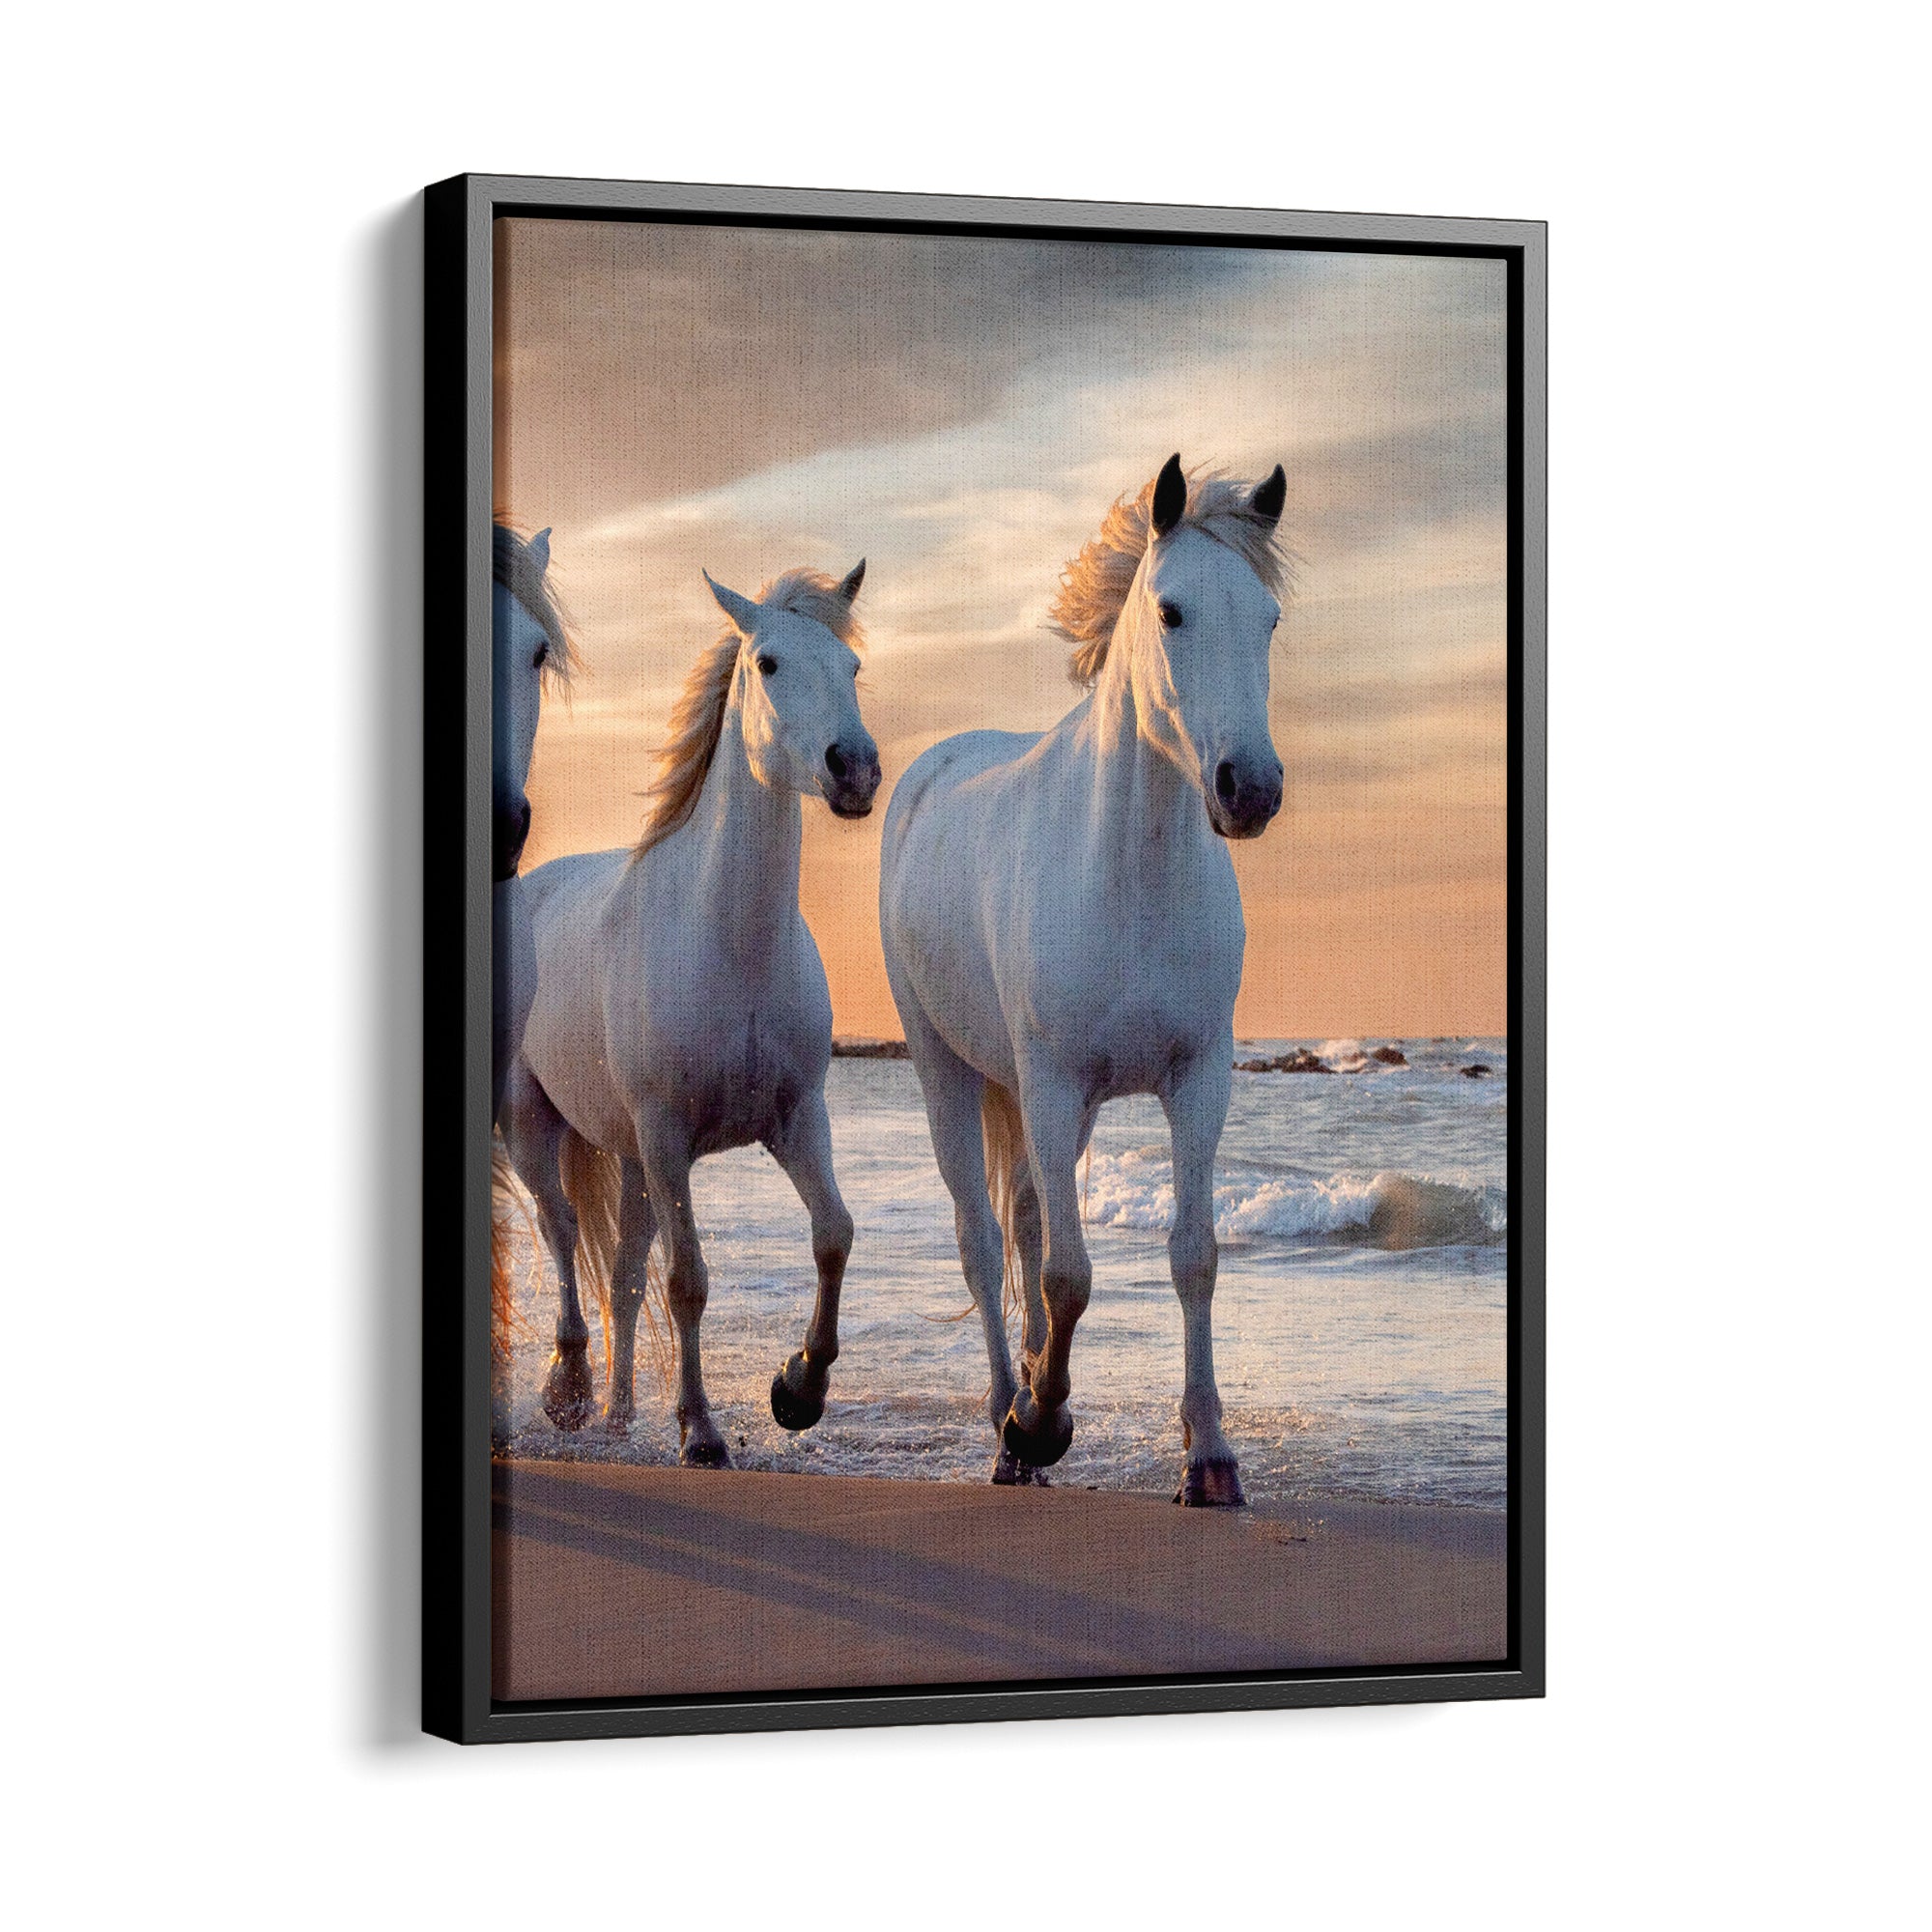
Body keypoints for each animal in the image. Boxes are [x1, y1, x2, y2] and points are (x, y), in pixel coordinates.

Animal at [501, 560, 882, 1456]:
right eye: (768, 663)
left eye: (852, 668)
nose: (854, 770)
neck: (728, 942)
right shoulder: (669, 1135)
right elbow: (688, 1282)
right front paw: (702, 1431)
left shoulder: (795, 1118)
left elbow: (834, 1235)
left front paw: (799, 1388)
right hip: (540, 1128)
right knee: (563, 1232)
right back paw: (570, 1391)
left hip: (631, 1157)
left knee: (622, 1273)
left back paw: (617, 1415)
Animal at [879, 455, 1289, 1506]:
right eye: (1172, 611)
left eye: (1268, 618)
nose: (1251, 789)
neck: (1129, 876)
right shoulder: (1054, 1081)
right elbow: (1068, 1275)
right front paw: (1038, 1420)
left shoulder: (1196, 1079)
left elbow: (1192, 1256)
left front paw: (1209, 1457)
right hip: (949, 1071)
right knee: (985, 1243)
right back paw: (1007, 1424)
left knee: (1024, 1221)